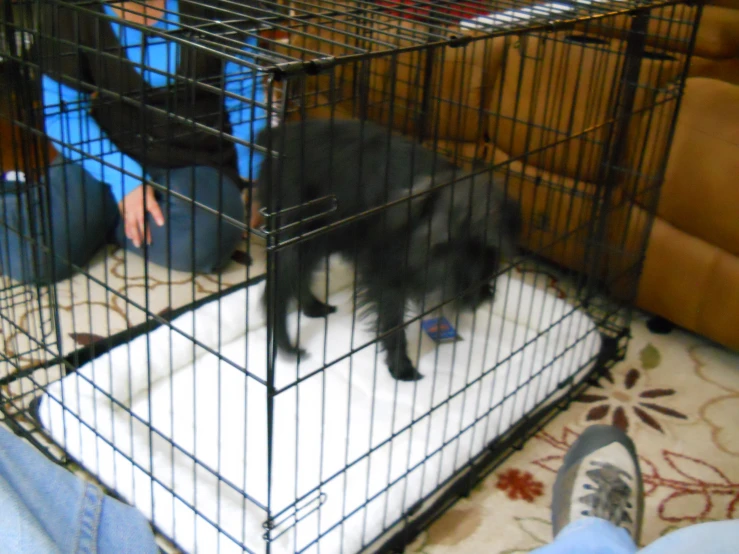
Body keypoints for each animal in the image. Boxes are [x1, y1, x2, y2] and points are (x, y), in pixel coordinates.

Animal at [258, 118, 524, 380]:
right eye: (443, 246)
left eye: (489, 248)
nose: (473, 299)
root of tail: (277, 134)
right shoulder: (386, 275)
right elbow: (393, 322)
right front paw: (401, 365)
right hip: (299, 235)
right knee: (276, 289)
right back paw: (285, 345)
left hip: (321, 237)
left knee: (299, 276)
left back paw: (312, 307)